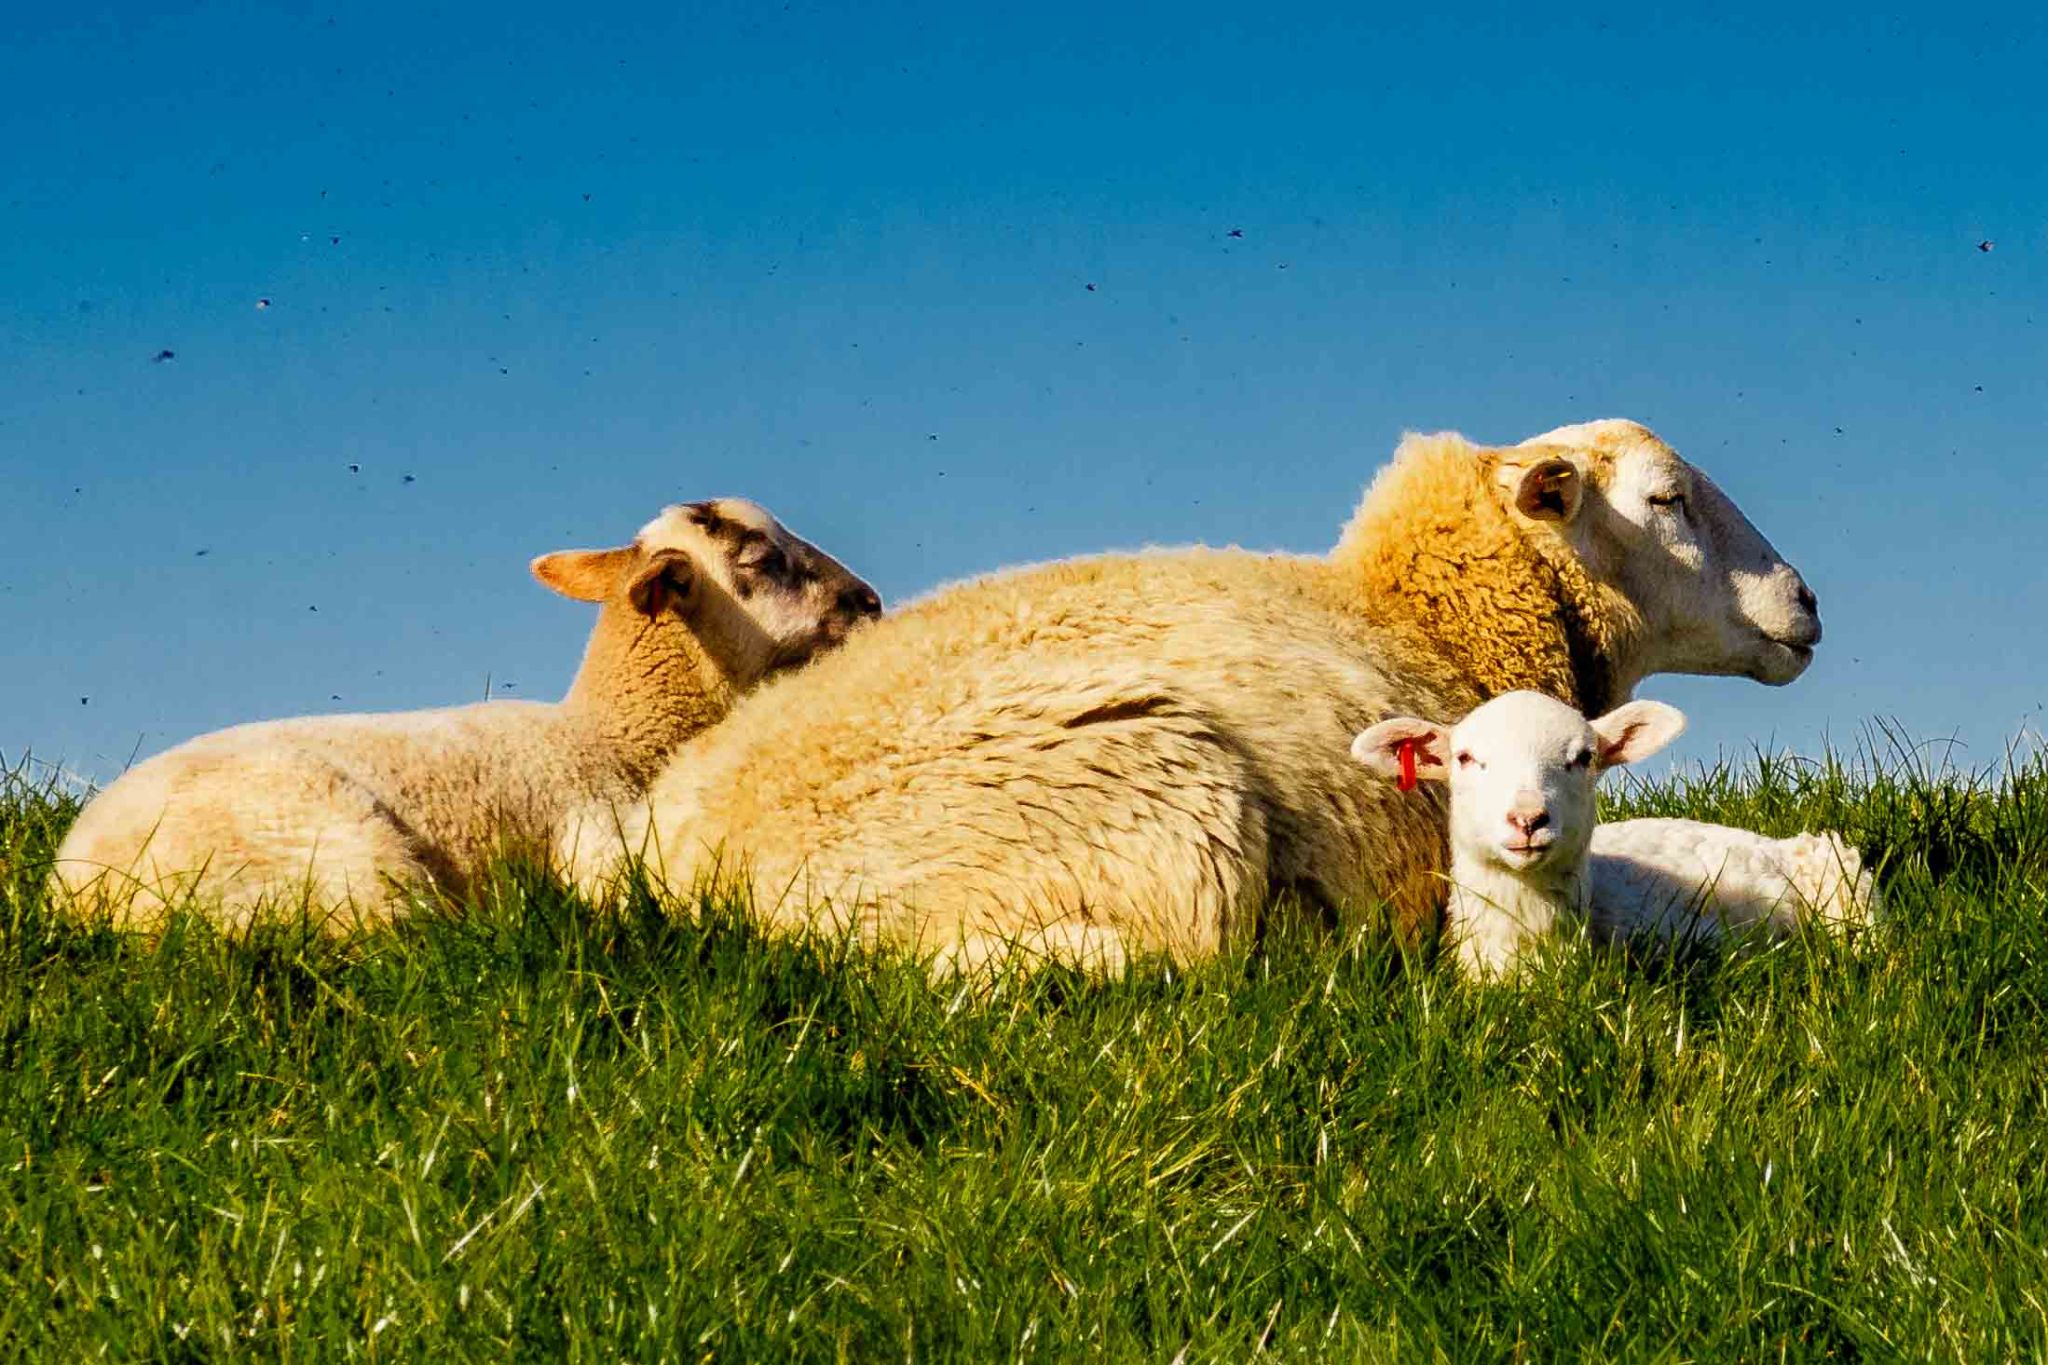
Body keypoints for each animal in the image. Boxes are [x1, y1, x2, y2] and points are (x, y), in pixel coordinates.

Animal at [50, 498, 882, 930]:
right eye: (763, 559)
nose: (869, 600)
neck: (613, 735)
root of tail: (79, 887)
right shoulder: (600, 842)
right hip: (342, 861)